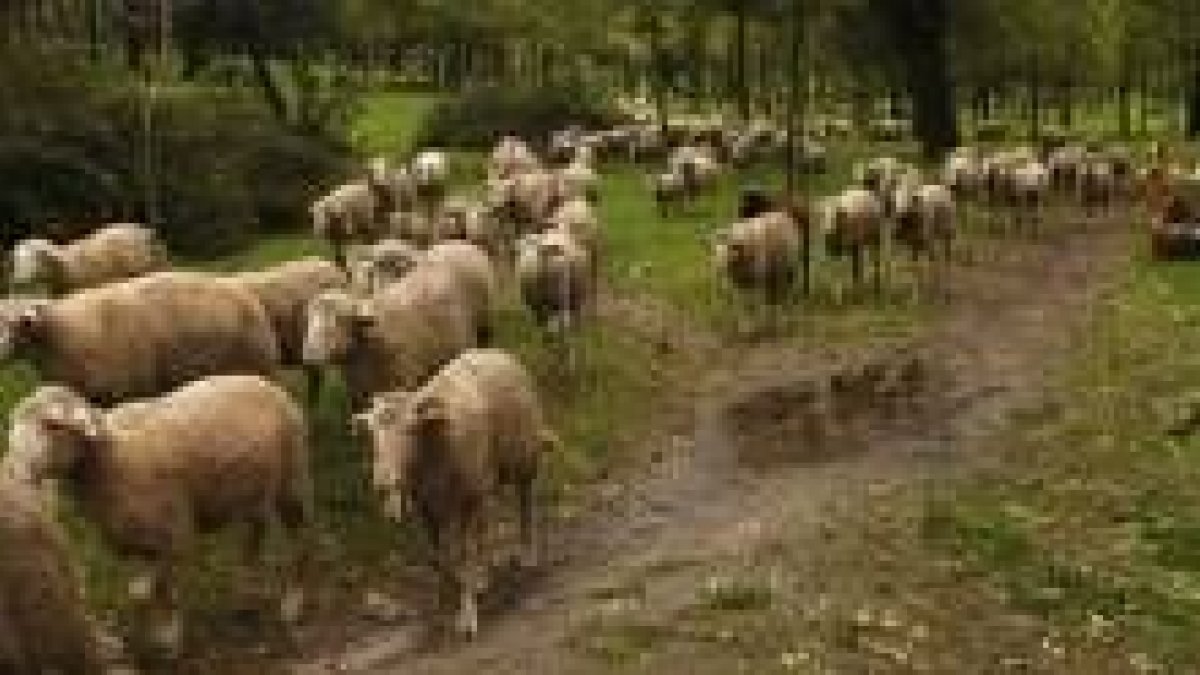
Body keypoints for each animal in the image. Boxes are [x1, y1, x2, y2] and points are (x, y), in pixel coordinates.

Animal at [2, 374, 312, 648]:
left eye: (52, 425)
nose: (15, 472)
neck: (112, 459)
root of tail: (265, 382)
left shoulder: (173, 531)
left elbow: (164, 588)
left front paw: (168, 634)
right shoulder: (137, 531)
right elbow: (147, 577)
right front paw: (142, 588)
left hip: (292, 478)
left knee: (299, 536)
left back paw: (293, 602)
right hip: (251, 486)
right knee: (256, 529)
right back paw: (246, 587)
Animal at [350, 345, 556, 634]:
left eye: (410, 429)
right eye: (371, 435)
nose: (383, 481)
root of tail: (492, 351)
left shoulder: (467, 497)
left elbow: (463, 554)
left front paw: (467, 614)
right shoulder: (426, 507)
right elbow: (438, 557)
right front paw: (444, 598)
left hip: (522, 459)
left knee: (525, 501)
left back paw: (527, 554)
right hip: (483, 483)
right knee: (483, 527)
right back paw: (483, 575)